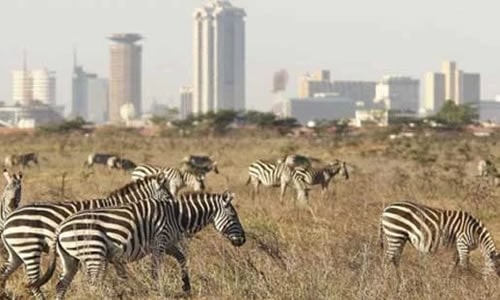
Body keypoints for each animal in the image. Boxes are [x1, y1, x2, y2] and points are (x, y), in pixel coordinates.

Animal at [0, 172, 172, 298]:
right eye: (168, 196)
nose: (172, 204)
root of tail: (8, 219)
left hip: (16, 253)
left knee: (4, 274)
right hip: (29, 247)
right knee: (34, 282)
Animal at [35, 191, 246, 298]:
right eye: (234, 216)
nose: (243, 240)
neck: (177, 216)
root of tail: (60, 228)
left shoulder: (169, 243)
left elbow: (182, 258)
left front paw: (186, 286)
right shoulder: (159, 242)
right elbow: (156, 270)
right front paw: (158, 290)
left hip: (70, 258)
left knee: (61, 285)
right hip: (94, 251)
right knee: (92, 284)